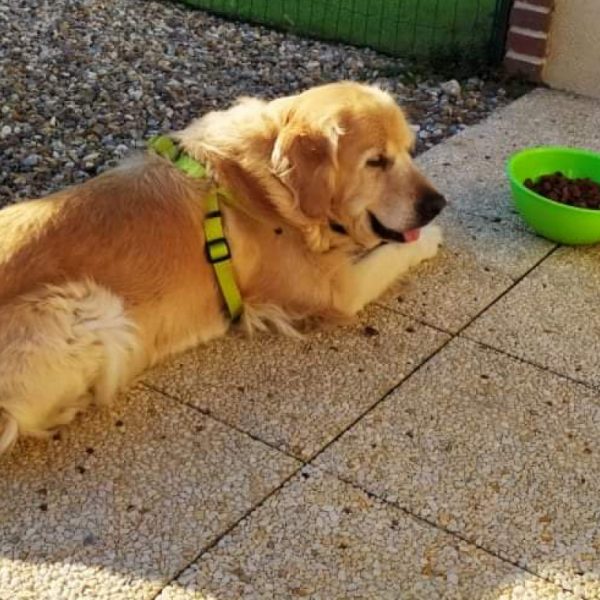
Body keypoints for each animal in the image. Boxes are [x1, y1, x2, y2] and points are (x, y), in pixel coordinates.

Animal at [0, 82, 446, 452]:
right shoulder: (340, 289)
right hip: (90, 306)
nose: (438, 203)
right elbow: (393, 253)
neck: (271, 186)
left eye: (409, 150)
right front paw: (433, 236)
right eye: (376, 161)